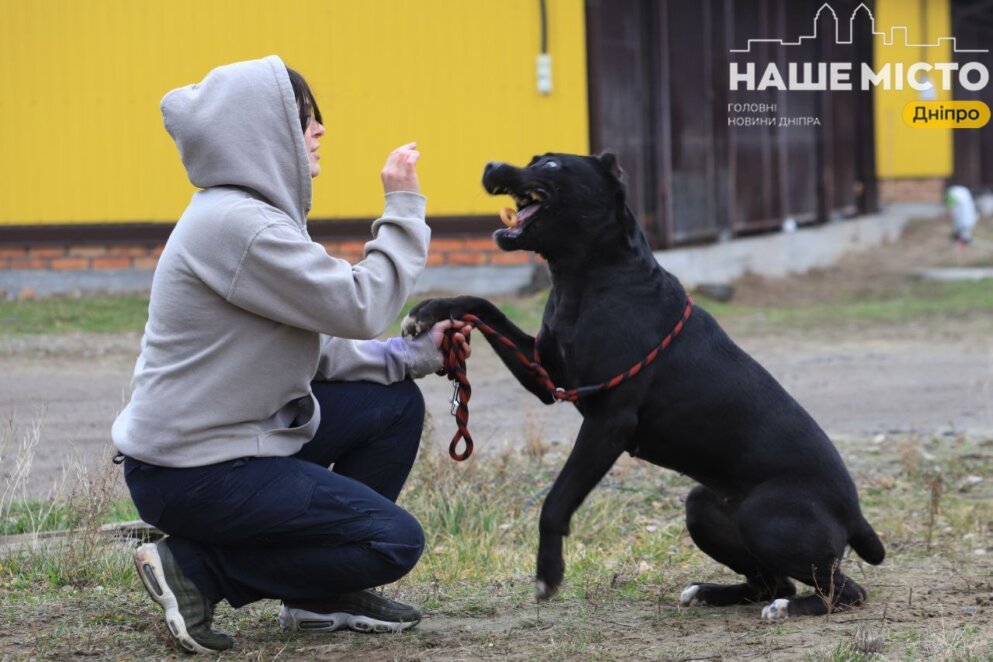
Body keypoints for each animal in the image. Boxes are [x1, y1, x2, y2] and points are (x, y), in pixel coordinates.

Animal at [404, 153, 884, 620]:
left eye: (552, 164)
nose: (491, 167)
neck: (586, 279)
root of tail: (855, 513)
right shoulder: (545, 375)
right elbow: (482, 305)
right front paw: (428, 312)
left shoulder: (607, 422)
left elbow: (556, 502)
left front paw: (548, 573)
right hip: (703, 508)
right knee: (772, 582)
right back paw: (711, 592)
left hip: (765, 516)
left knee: (844, 591)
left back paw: (788, 608)